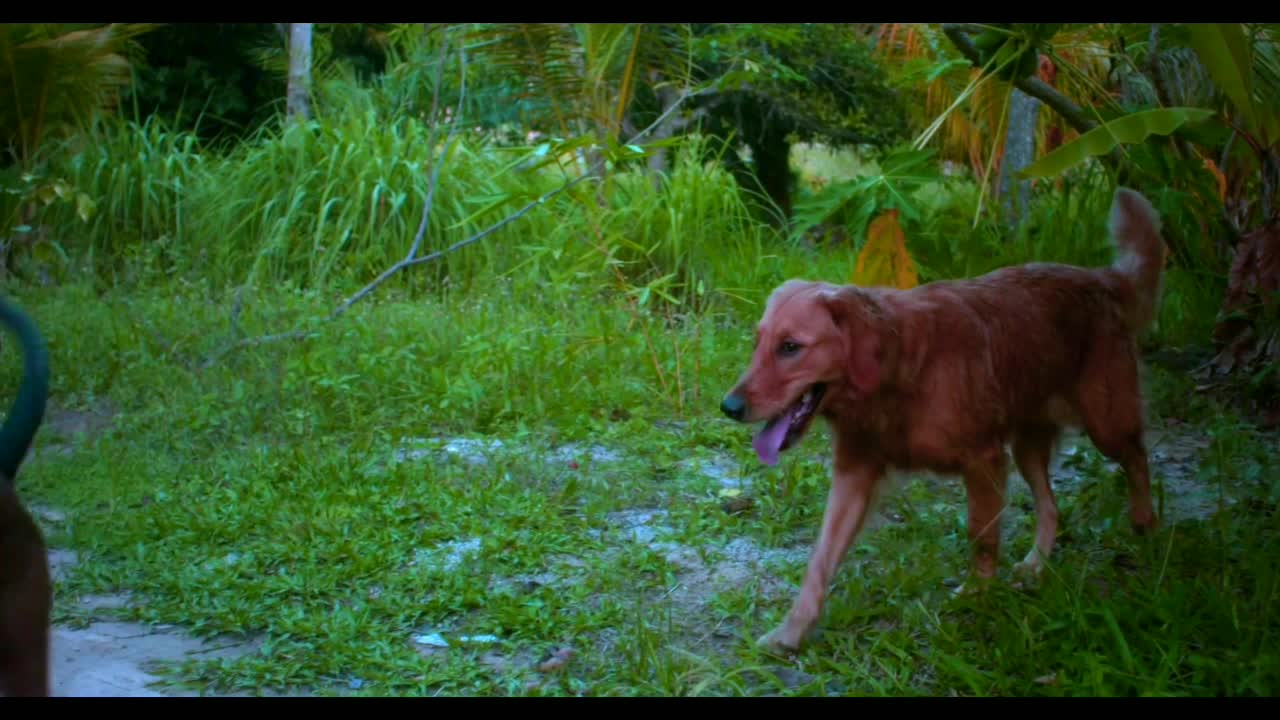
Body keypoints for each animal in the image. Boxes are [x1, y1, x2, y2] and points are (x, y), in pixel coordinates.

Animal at [721, 183, 1172, 650]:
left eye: (791, 347)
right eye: (758, 343)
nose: (729, 407)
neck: (896, 374)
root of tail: (1101, 278)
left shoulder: (984, 460)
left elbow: (981, 534)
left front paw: (977, 595)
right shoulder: (854, 472)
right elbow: (820, 560)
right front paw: (792, 630)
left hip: (1105, 423)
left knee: (1137, 458)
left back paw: (1145, 524)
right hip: (1028, 444)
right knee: (1051, 507)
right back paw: (1034, 566)